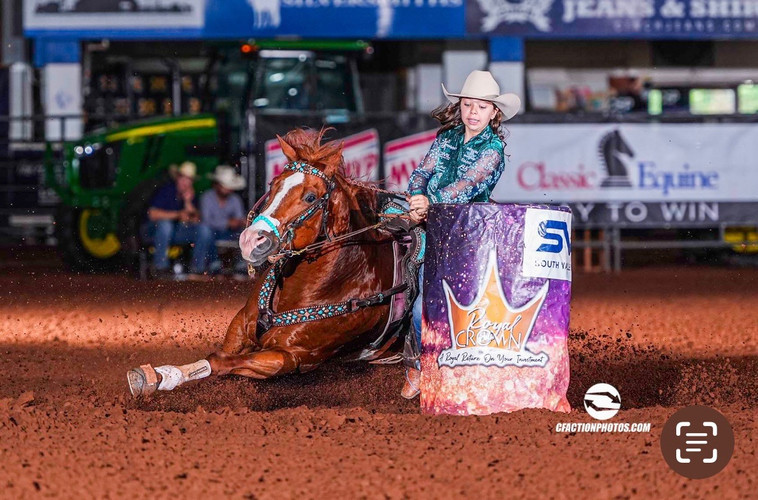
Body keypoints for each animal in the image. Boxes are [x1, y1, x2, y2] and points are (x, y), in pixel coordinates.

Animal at [127, 128, 419, 397]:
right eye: (273, 184)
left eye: (310, 197)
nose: (251, 240)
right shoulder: (242, 324)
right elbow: (217, 356)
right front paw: (158, 375)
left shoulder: (289, 356)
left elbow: (222, 362)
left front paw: (158, 377)